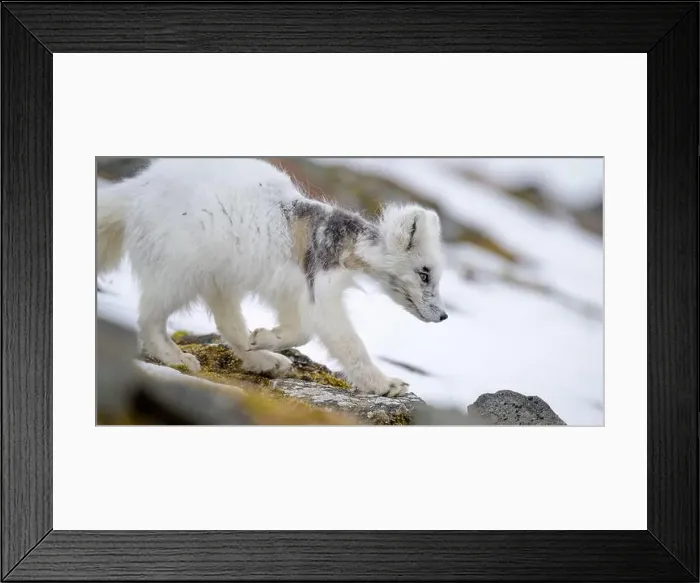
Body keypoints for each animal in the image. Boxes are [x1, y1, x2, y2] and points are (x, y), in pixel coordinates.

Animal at [97, 158, 448, 397]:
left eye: (437, 276)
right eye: (425, 273)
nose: (444, 316)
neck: (345, 243)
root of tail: (137, 189)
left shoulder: (291, 286)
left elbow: (300, 330)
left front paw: (265, 337)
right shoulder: (320, 280)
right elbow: (343, 338)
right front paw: (387, 384)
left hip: (220, 273)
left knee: (226, 319)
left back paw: (265, 359)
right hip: (180, 268)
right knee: (150, 317)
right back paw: (177, 357)